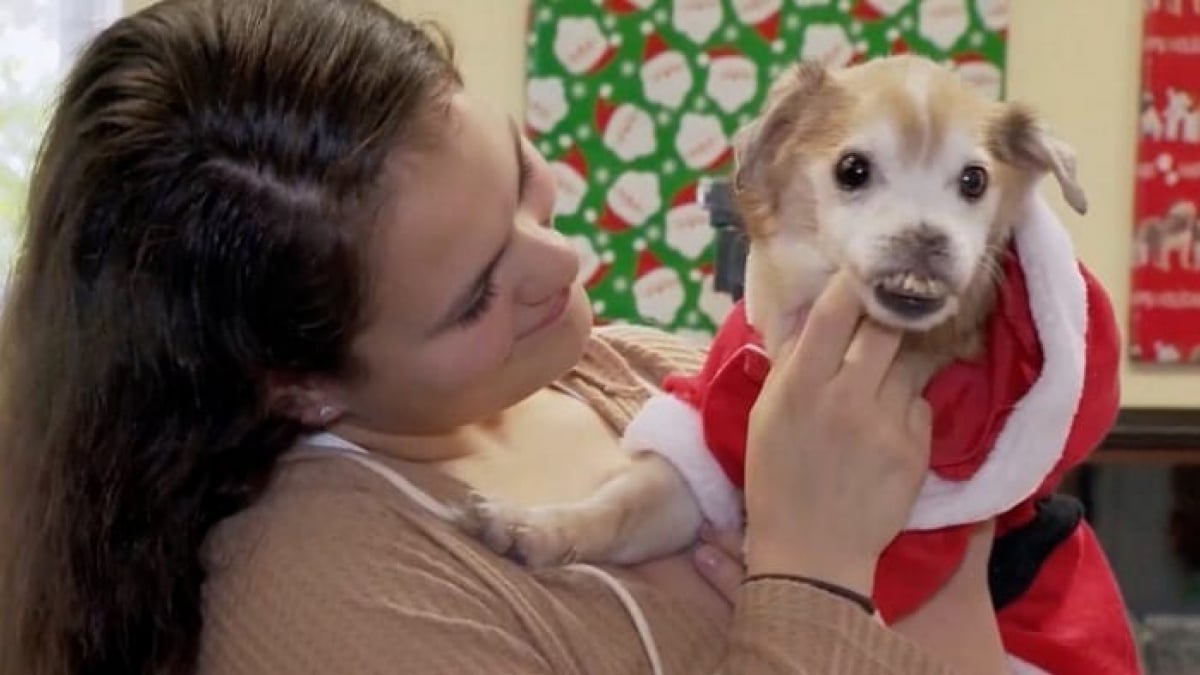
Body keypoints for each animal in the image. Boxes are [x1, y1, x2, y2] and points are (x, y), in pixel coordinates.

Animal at [456, 53, 1089, 566]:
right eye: (852, 170)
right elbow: (622, 505)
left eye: (974, 181)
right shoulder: (701, 465)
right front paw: (535, 527)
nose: (927, 238)